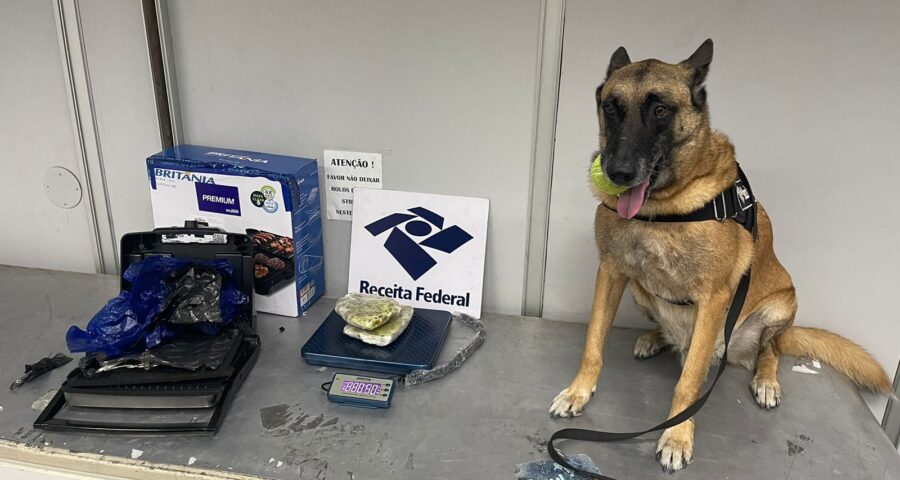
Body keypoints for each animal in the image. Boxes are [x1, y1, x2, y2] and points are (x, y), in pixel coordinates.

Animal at [544, 38, 888, 472]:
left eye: (660, 110)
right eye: (611, 107)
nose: (617, 173)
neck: (662, 208)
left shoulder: (714, 298)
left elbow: (688, 383)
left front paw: (676, 436)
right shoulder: (611, 273)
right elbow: (593, 344)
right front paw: (579, 391)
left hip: (782, 304)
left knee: (770, 350)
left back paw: (765, 380)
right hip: (641, 292)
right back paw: (655, 338)